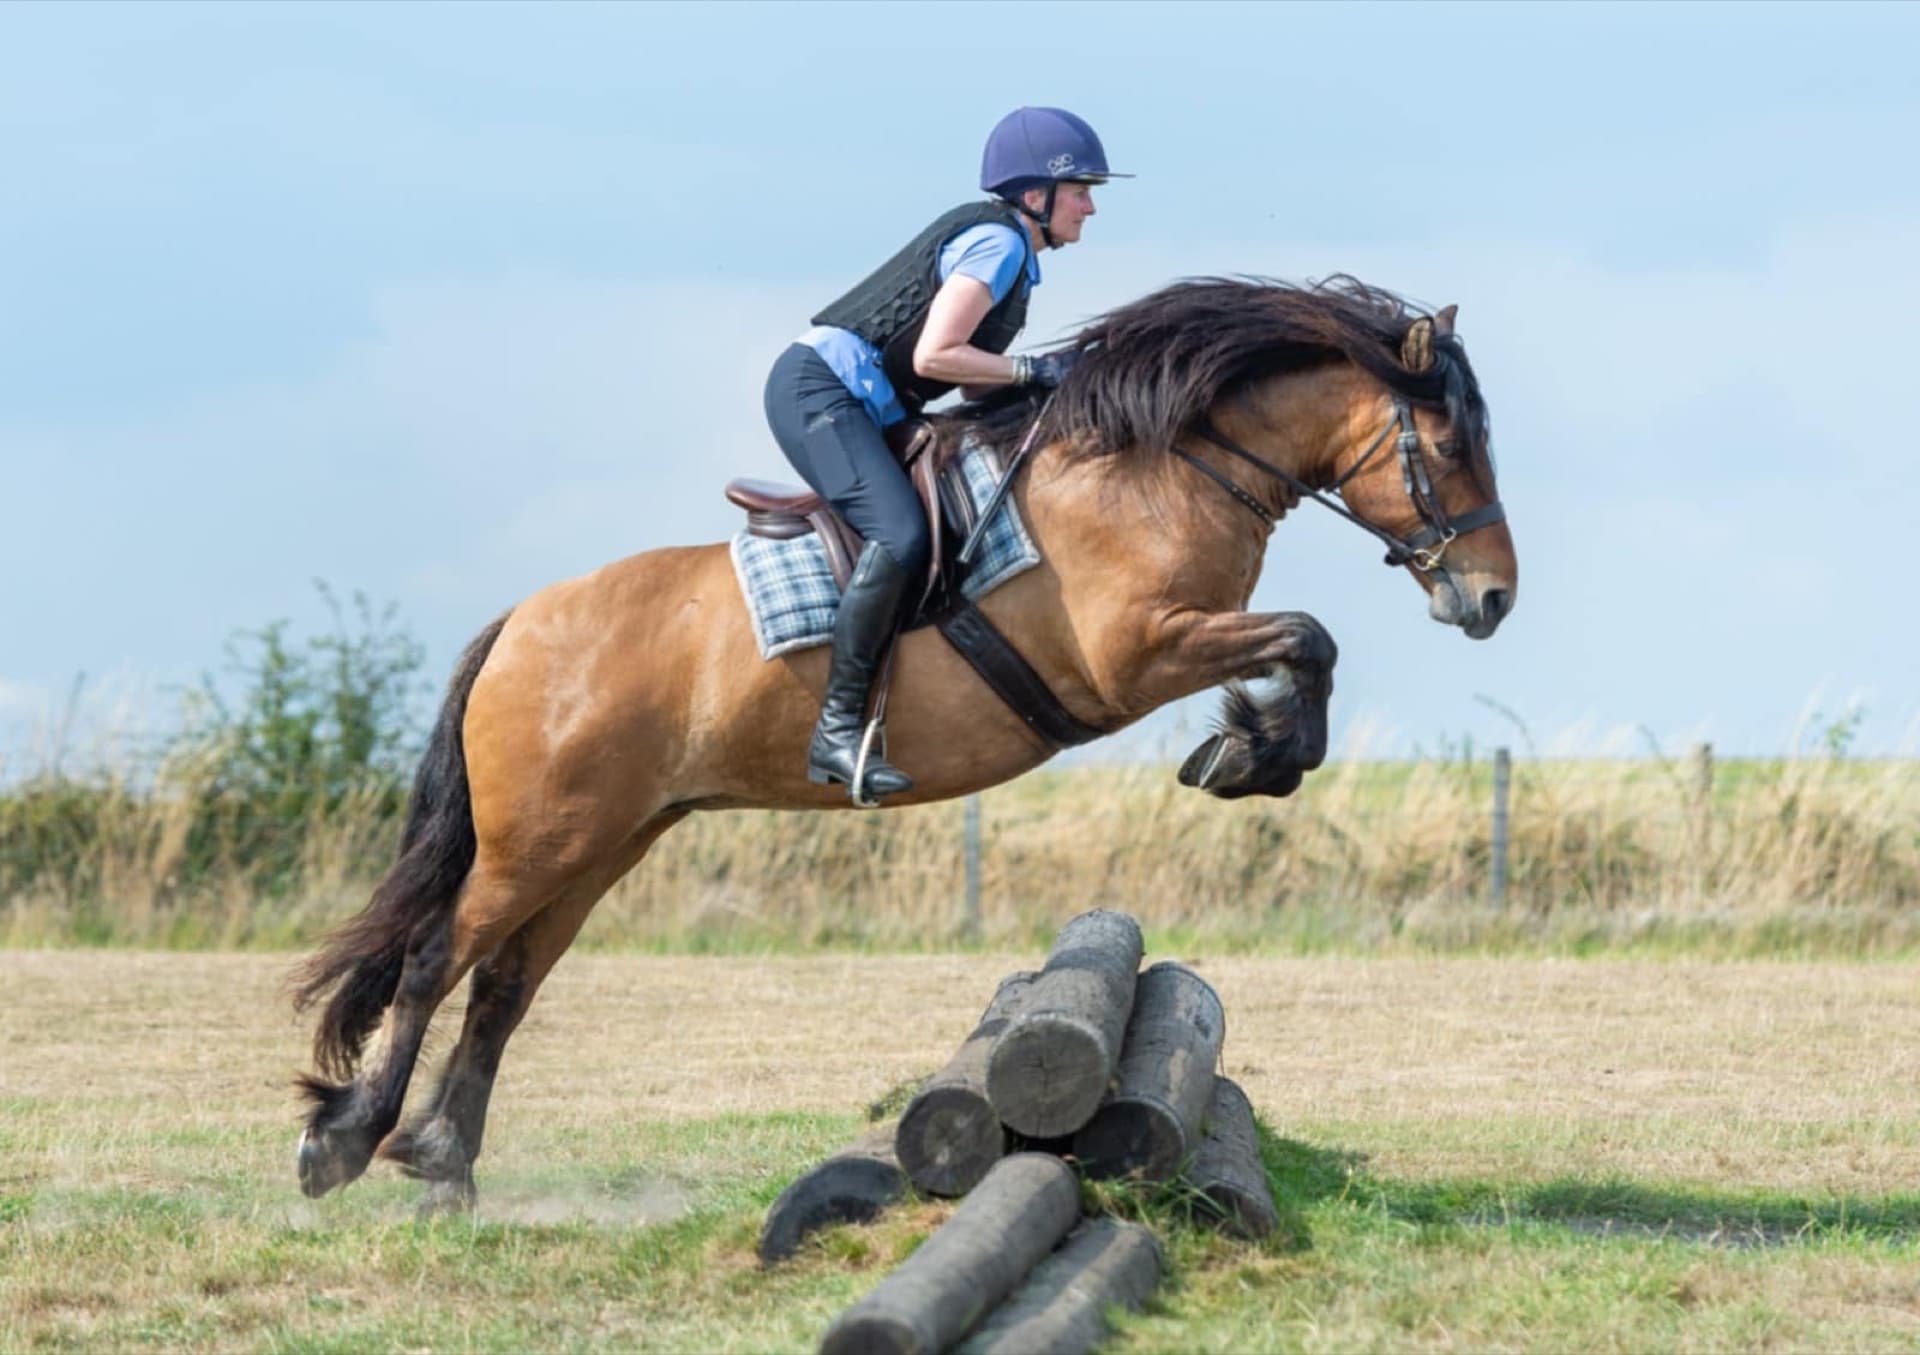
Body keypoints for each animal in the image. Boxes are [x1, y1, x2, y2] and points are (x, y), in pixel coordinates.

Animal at [291, 275, 1518, 1213]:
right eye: (1449, 443)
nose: (1493, 597)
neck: (1159, 468)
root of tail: (521, 624)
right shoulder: (1135, 652)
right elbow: (1308, 636)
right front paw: (1252, 752)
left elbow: (1308, 646)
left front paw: (1252, 752)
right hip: (540, 838)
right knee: (434, 958)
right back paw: (346, 1142)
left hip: (603, 841)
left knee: (505, 981)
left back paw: (444, 1166)